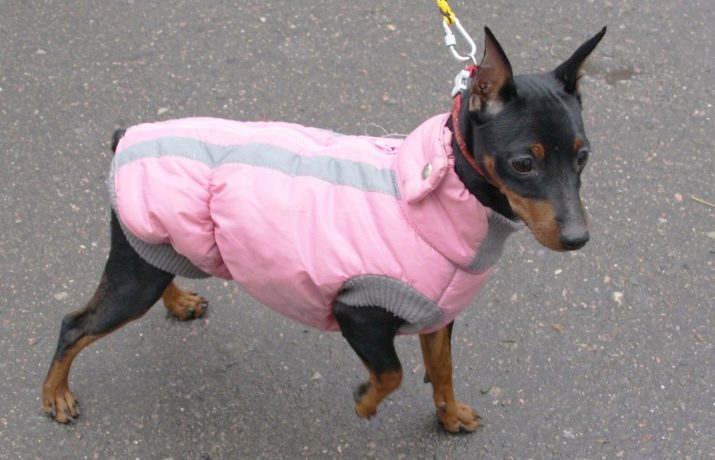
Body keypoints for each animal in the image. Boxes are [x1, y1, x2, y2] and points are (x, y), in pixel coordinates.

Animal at [42, 27, 606, 432]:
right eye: (523, 164)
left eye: (583, 156)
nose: (578, 239)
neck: (438, 199)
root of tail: (127, 135)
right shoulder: (357, 310)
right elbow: (393, 373)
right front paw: (366, 404)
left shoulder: (438, 313)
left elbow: (442, 369)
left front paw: (449, 416)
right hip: (132, 276)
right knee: (74, 325)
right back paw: (55, 395)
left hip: (161, 247)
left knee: (161, 272)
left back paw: (179, 301)